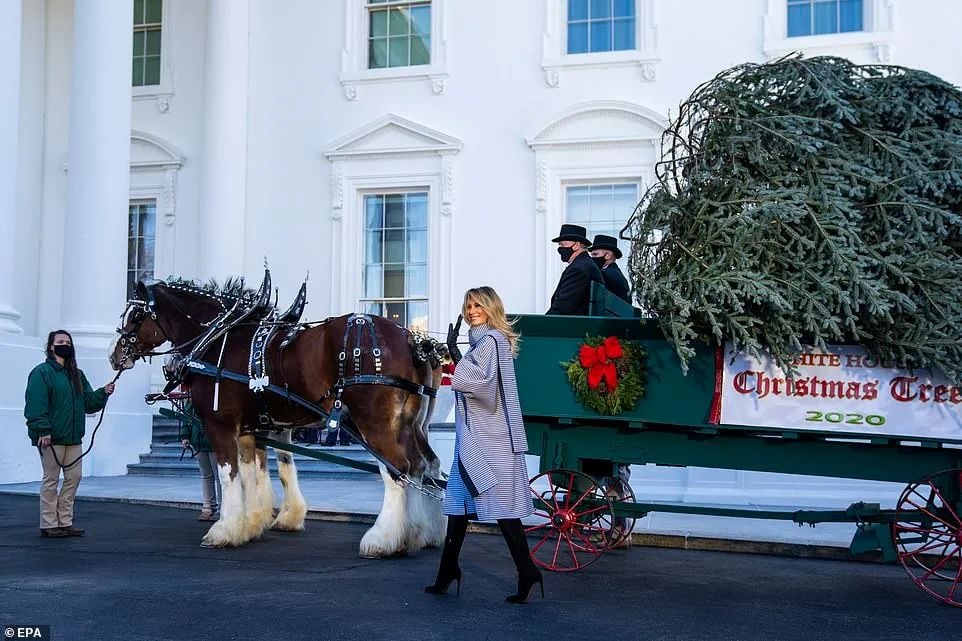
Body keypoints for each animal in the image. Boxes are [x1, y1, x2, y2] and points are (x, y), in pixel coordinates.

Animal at [109, 276, 446, 556]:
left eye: (136, 316)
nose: (114, 355)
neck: (218, 339)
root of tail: (412, 339)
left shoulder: (220, 424)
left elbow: (228, 474)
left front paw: (224, 529)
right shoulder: (252, 428)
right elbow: (257, 472)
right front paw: (251, 523)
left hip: (374, 422)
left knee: (397, 470)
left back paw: (382, 539)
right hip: (411, 424)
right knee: (425, 466)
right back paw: (422, 533)